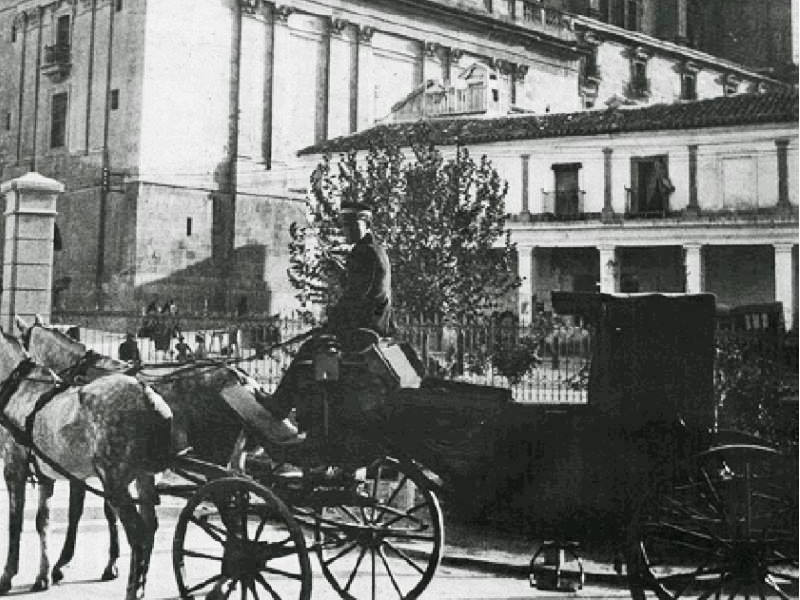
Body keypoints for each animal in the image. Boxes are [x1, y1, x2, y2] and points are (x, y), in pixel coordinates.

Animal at [0, 328, 172, 600]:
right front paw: (43, 575)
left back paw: (132, 588)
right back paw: (141, 585)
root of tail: (148, 397)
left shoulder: (13, 466)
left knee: (137, 533)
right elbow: (42, 521)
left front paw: (8, 575)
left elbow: (15, 524)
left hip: (114, 482)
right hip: (144, 478)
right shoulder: (46, 474)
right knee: (150, 526)